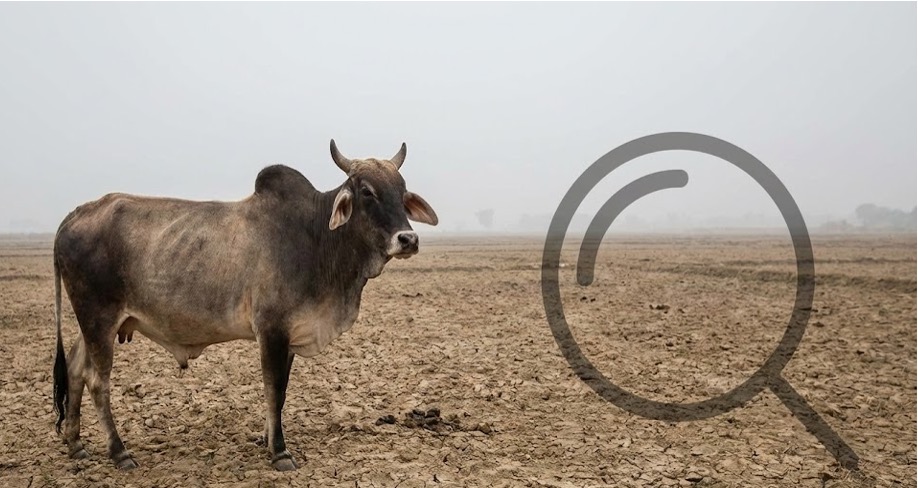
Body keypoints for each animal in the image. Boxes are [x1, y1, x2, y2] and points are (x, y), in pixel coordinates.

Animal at [51, 140, 438, 471]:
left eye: (402, 192)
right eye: (367, 191)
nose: (408, 239)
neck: (316, 237)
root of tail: (76, 213)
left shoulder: (292, 334)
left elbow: (281, 392)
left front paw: (266, 439)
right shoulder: (271, 330)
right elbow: (272, 388)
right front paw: (280, 452)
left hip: (95, 325)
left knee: (75, 368)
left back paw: (76, 444)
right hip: (98, 319)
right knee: (97, 381)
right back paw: (119, 453)